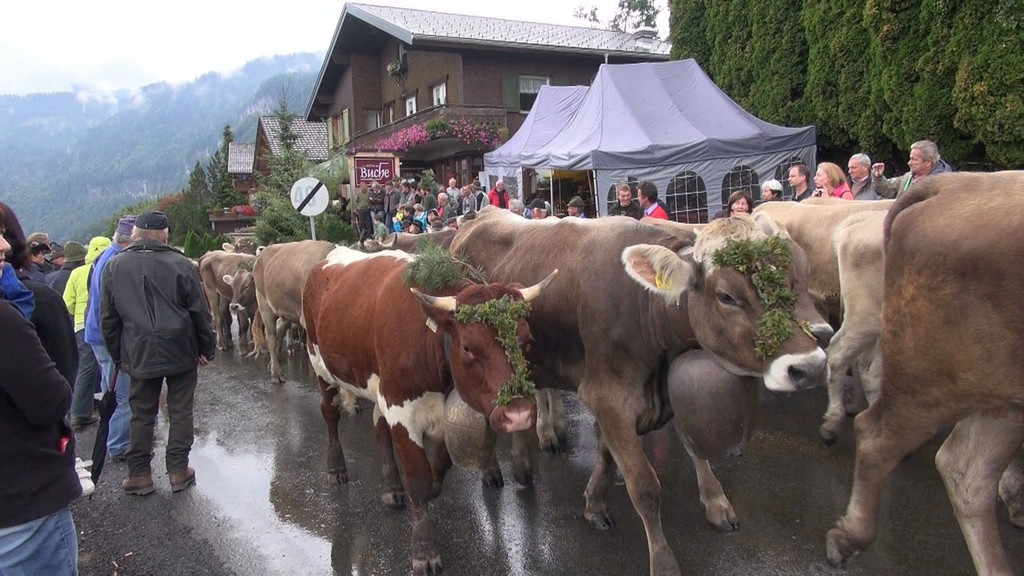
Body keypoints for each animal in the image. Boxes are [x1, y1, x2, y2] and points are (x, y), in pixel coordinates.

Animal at [252, 240, 336, 385]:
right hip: (264, 303)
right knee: (271, 336)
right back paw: (276, 373)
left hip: (288, 310)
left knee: (280, 330)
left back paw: (273, 363)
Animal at [302, 246, 556, 575]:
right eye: (468, 348)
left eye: (526, 340)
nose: (519, 414)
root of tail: (332, 255)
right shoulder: (400, 408)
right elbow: (418, 477)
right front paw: (424, 551)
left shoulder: (435, 411)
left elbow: (440, 466)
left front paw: (428, 489)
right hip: (320, 364)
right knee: (330, 414)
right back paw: (337, 468)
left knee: (378, 427)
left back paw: (390, 486)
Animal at [451, 210, 832, 575]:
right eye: (726, 296)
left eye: (790, 281)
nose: (810, 365)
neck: (648, 308)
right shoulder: (608, 396)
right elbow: (645, 487)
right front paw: (663, 562)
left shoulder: (643, 398)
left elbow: (670, 451)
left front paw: (713, 503)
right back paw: (495, 467)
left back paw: (526, 460)